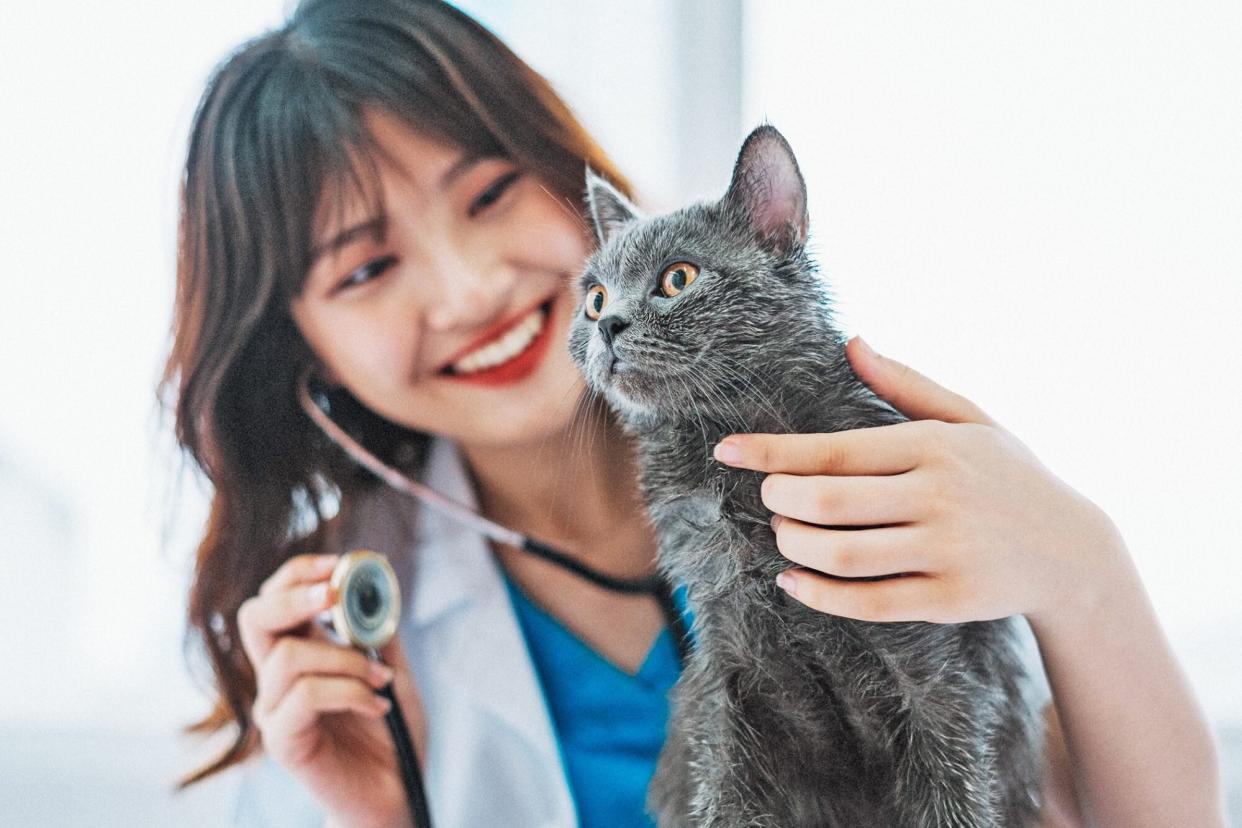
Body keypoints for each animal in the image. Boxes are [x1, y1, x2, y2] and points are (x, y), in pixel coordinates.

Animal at [568, 124, 1043, 828]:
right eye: (595, 297)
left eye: (677, 278)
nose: (607, 324)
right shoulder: (729, 681)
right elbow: (725, 798)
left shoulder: (937, 676)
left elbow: (954, 795)